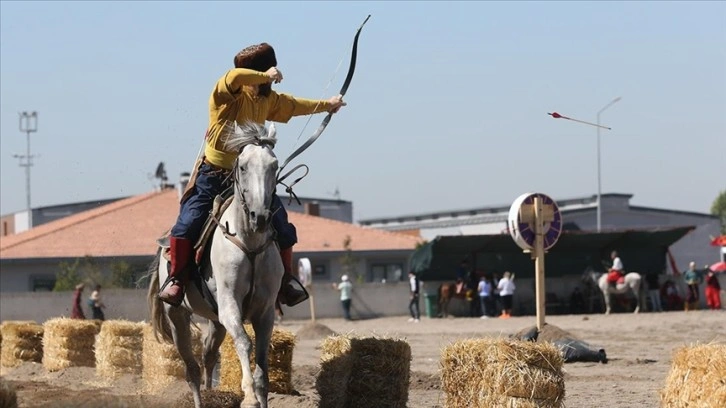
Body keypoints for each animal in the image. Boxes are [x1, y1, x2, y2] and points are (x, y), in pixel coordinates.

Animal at [147, 121, 284, 408]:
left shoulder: (265, 311)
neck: (249, 240)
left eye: (274, 165)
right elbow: (244, 343)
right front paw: (249, 397)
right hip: (177, 317)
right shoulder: (230, 305)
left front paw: (257, 393)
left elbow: (263, 367)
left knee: (208, 357)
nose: (260, 217)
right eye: (243, 166)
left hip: (215, 321)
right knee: (192, 369)